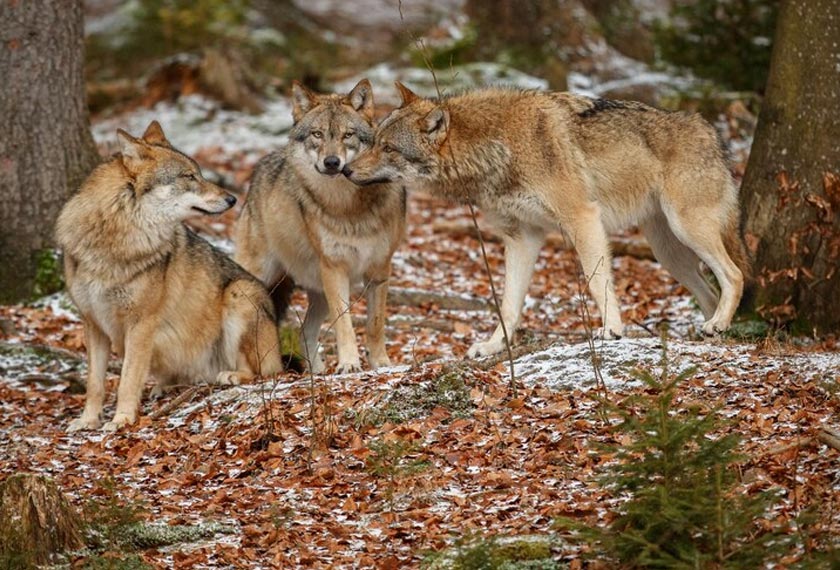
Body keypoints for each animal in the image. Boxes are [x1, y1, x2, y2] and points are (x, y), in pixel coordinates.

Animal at [56, 121, 282, 431]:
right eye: (189, 176)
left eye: (199, 173)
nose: (233, 198)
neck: (116, 239)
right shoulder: (93, 323)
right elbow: (95, 384)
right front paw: (87, 421)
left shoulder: (141, 323)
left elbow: (127, 381)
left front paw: (121, 420)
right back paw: (163, 387)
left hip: (239, 294)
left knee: (262, 372)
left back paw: (231, 375)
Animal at [235, 79, 406, 373]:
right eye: (317, 134)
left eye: (348, 135)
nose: (332, 162)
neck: (347, 207)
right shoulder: (335, 269)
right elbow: (345, 324)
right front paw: (349, 364)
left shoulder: (380, 269)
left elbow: (375, 325)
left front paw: (381, 363)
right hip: (258, 280)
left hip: (318, 292)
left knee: (305, 331)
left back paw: (316, 372)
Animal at [344, 83, 750, 358]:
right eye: (372, 140)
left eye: (388, 147)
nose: (344, 169)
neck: (497, 147)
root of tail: (711, 131)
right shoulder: (522, 238)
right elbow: (508, 304)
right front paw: (493, 346)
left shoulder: (582, 218)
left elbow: (597, 281)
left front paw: (612, 329)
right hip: (669, 253)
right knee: (710, 291)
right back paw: (711, 331)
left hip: (687, 230)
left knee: (735, 275)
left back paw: (718, 323)